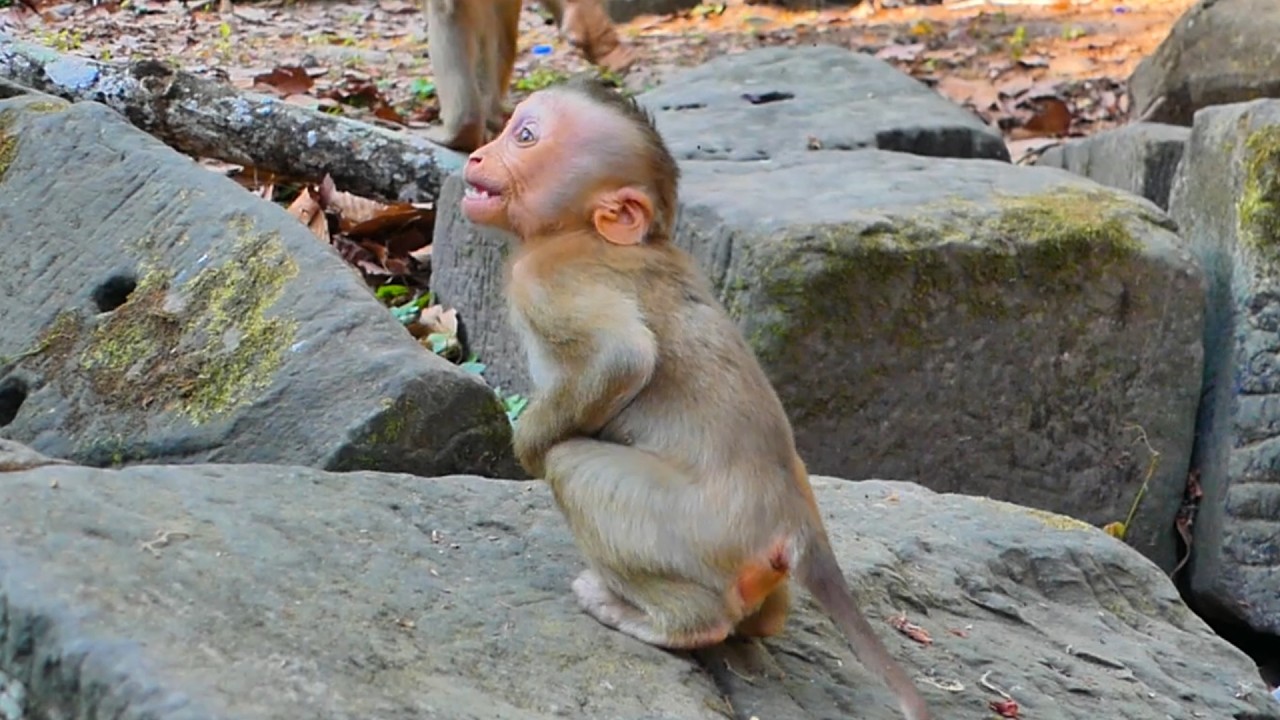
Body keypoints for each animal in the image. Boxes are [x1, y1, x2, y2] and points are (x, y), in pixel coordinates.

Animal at [458, 76, 931, 720]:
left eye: (525, 137)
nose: (478, 156)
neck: (578, 230)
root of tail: (794, 523)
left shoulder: (547, 277)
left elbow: (622, 357)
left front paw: (526, 449)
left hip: (693, 529)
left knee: (575, 467)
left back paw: (670, 622)